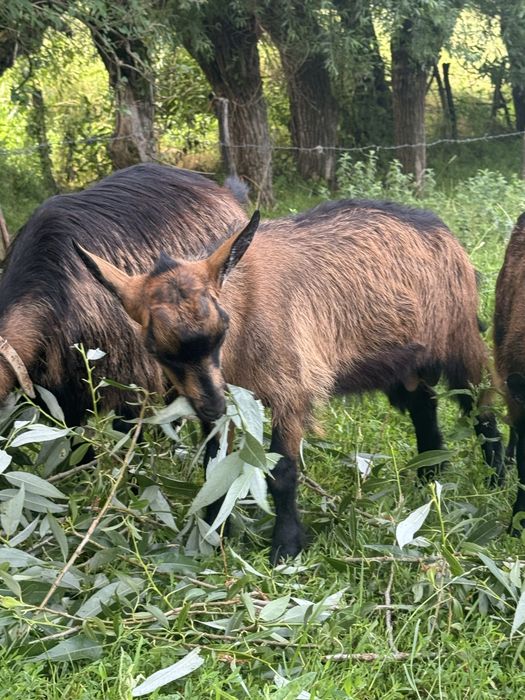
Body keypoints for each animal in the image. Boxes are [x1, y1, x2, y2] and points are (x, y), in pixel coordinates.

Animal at [77, 200, 504, 563]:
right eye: (158, 350)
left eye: (222, 330)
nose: (213, 405)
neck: (245, 310)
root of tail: (437, 226)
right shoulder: (228, 399)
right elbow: (216, 468)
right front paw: (215, 534)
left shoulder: (292, 390)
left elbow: (282, 471)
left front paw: (286, 546)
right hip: (401, 357)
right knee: (423, 403)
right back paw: (430, 472)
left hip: (458, 337)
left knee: (480, 402)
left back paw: (497, 477)